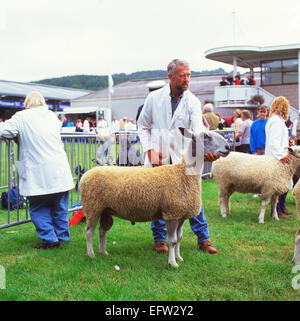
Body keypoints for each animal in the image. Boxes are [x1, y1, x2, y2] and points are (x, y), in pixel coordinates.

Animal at [79, 129, 230, 266]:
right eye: (206, 136)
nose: (228, 147)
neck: (183, 174)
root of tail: (86, 175)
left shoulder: (181, 215)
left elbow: (179, 238)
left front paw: (179, 257)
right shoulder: (171, 214)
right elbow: (173, 241)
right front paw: (172, 263)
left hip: (105, 210)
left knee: (102, 230)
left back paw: (103, 252)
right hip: (92, 207)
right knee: (89, 231)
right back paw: (91, 254)